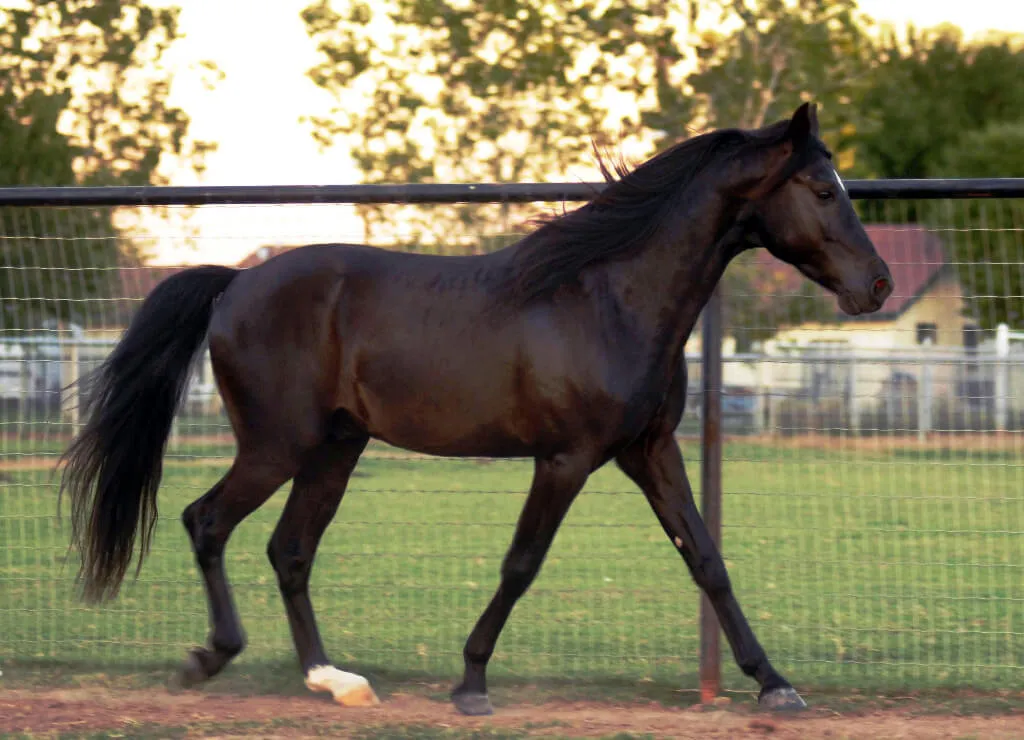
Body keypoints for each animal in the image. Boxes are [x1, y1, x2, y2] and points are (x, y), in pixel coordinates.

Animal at [59, 102, 892, 715]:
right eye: (823, 190)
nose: (878, 284)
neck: (607, 299)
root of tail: (233, 284)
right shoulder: (567, 459)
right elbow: (521, 563)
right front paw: (470, 684)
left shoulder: (649, 450)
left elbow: (707, 559)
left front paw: (775, 683)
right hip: (276, 446)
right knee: (207, 521)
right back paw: (210, 657)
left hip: (336, 448)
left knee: (289, 550)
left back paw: (335, 682)